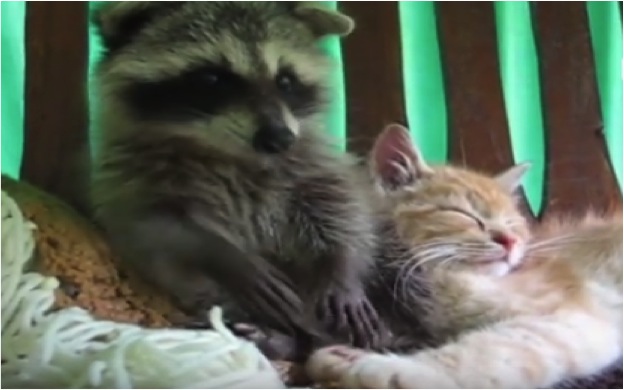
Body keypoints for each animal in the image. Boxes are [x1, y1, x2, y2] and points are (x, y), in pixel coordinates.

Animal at [87, 0, 380, 356]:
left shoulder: (311, 161)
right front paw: (224, 253)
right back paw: (280, 337)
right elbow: (153, 226)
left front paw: (342, 272)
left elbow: (342, 210)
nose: (279, 138)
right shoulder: (126, 176)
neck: (227, 152)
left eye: (285, 80)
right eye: (213, 78)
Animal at [304, 124, 620, 386]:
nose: (510, 240)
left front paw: (380, 367)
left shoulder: (571, 318)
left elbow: (486, 353)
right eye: (464, 214)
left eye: (511, 222)